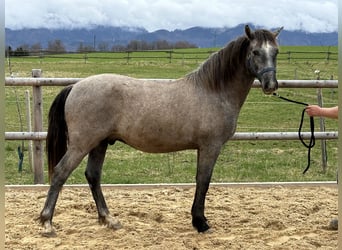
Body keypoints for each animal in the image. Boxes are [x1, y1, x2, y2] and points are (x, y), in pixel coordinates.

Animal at [39, 25, 284, 236]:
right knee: (61, 173)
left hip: (99, 143)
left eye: (276, 52)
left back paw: (109, 219)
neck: (213, 91)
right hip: (82, 144)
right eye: (255, 51)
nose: (270, 85)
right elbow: (203, 181)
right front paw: (201, 223)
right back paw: (47, 223)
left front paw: (198, 220)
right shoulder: (210, 147)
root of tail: (75, 86)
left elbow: (201, 181)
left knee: (93, 176)